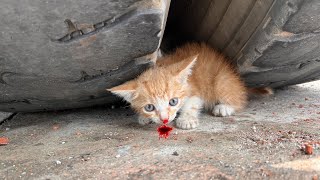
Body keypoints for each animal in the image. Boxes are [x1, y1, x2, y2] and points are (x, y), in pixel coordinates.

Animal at [107, 43, 270, 129]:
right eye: (149, 107)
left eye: (173, 101)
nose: (164, 119)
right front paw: (144, 118)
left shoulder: (195, 90)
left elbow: (192, 104)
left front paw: (187, 119)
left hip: (222, 81)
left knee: (239, 98)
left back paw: (224, 107)